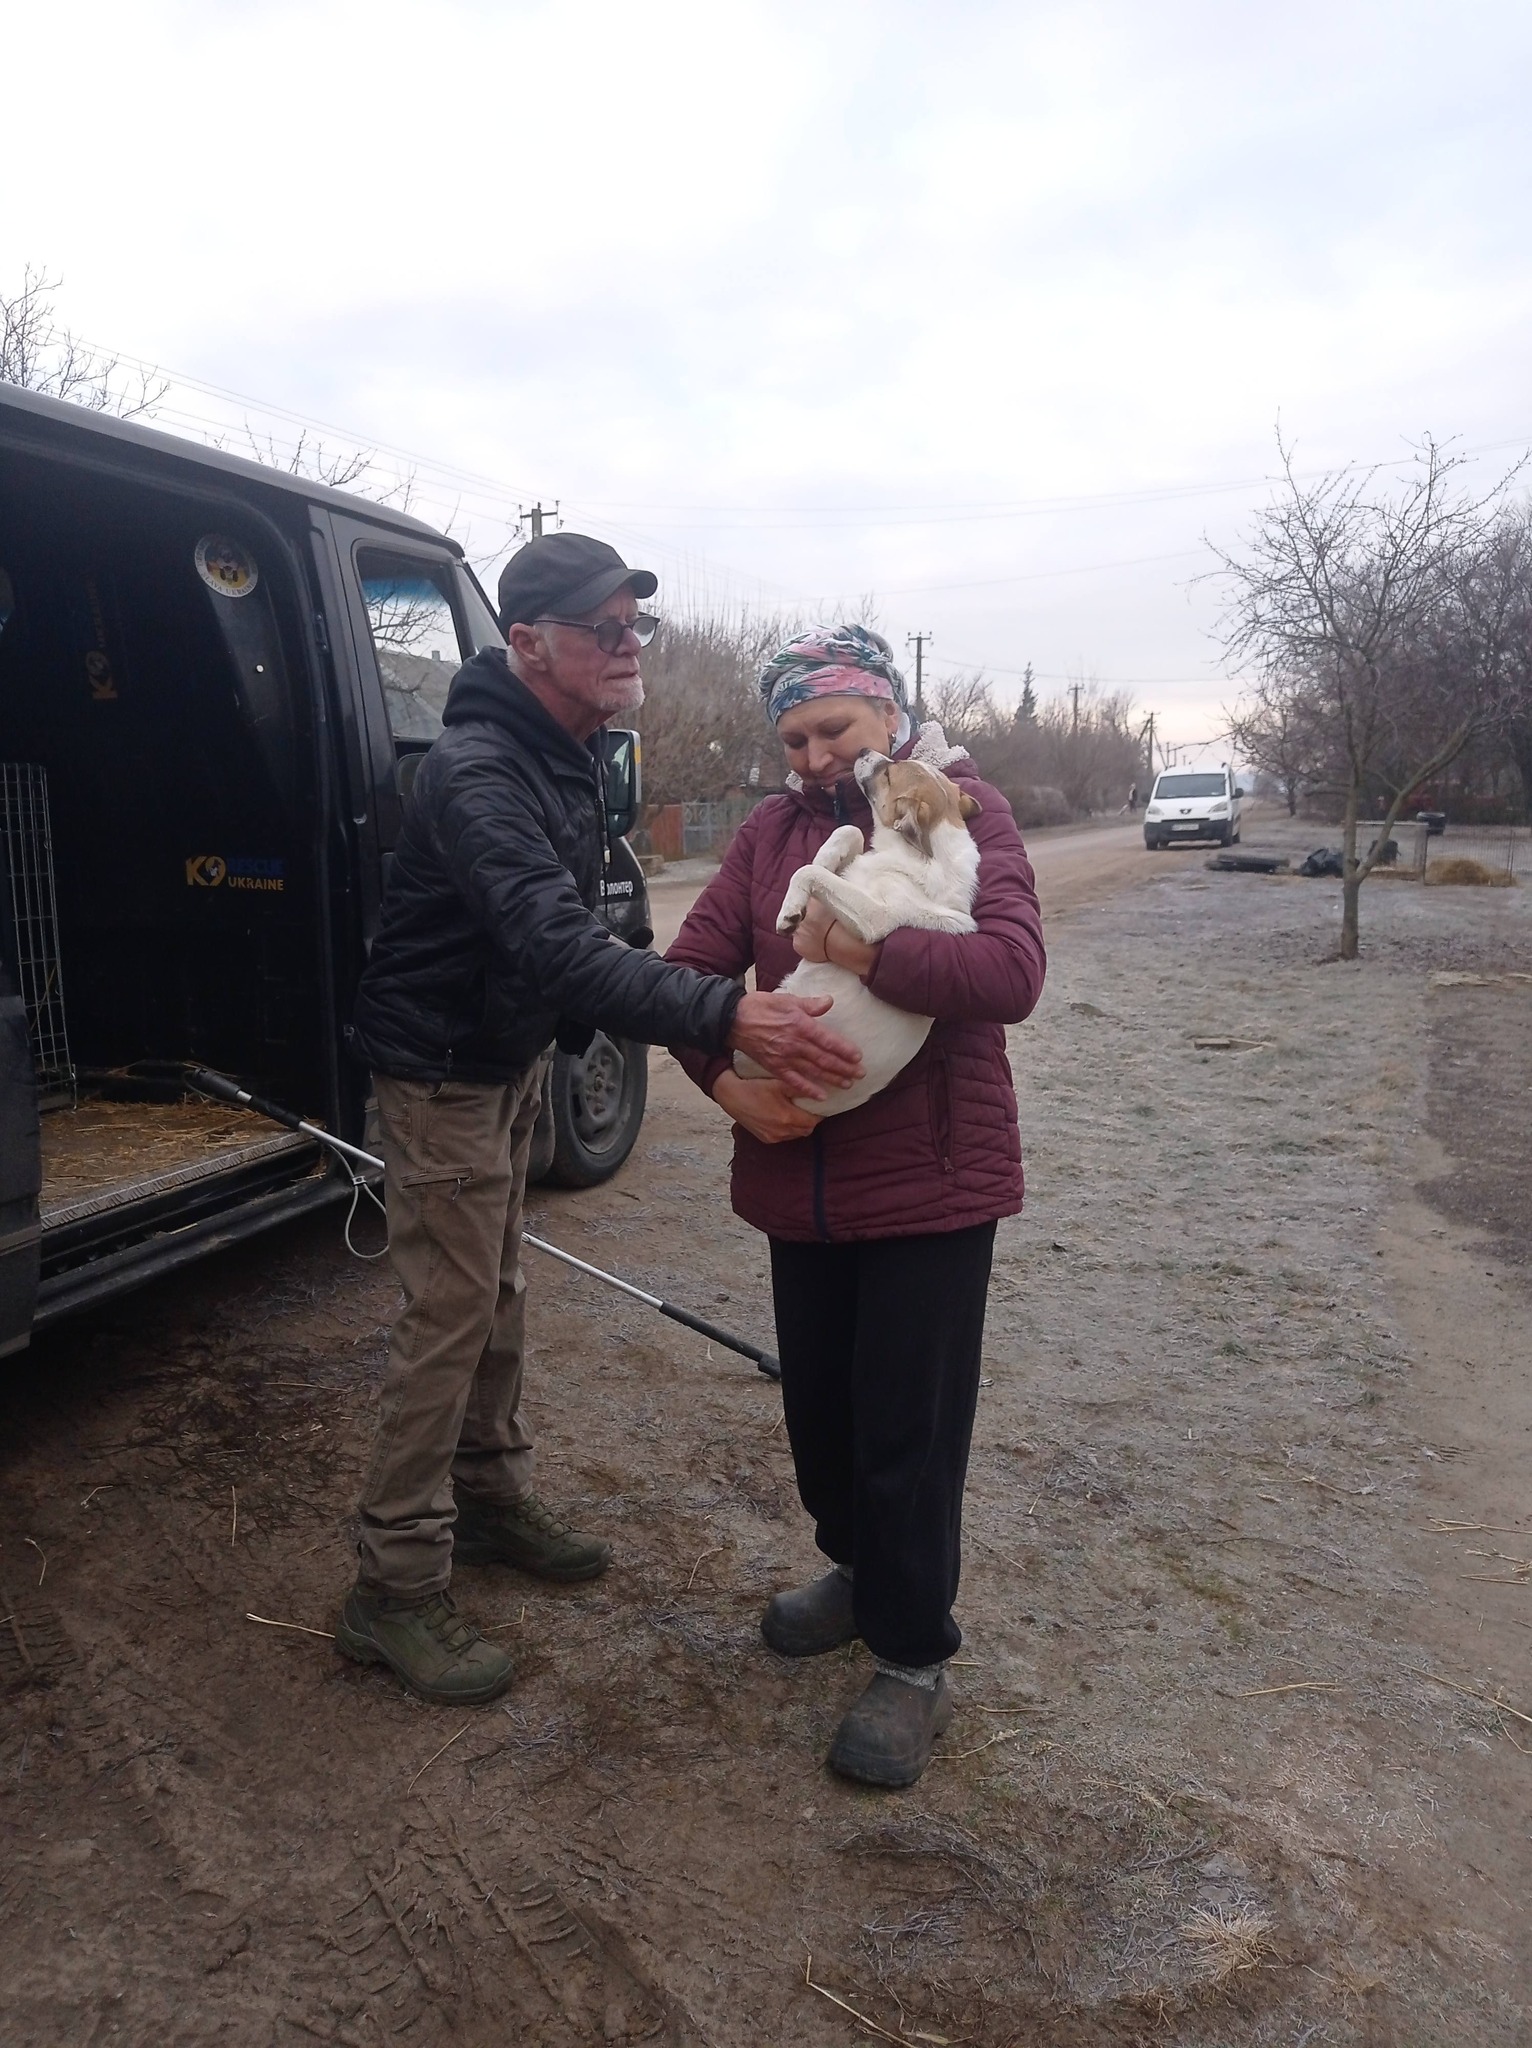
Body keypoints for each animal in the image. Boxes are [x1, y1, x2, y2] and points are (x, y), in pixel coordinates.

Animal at [734, 750, 981, 1117]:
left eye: (890, 774)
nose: (864, 751)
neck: (922, 852)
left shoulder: (874, 918)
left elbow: (807, 872)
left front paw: (790, 909)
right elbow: (848, 831)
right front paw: (823, 858)